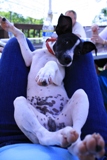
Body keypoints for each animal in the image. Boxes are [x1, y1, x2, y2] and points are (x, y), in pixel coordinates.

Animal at [0, 14, 105, 159]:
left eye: (78, 53)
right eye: (66, 42)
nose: (68, 60)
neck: (49, 54)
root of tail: (54, 123)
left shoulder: (59, 76)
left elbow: (52, 63)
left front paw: (44, 73)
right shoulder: (28, 58)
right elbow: (21, 35)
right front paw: (8, 26)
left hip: (81, 94)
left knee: (68, 136)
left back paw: (81, 146)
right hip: (23, 105)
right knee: (44, 135)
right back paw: (66, 140)